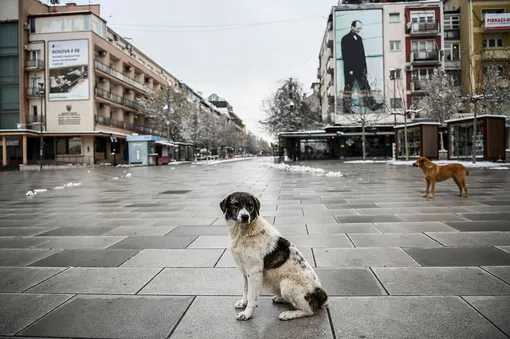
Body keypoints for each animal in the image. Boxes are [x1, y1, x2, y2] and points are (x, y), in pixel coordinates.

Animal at [218, 193, 328, 322]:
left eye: (250, 205)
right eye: (236, 204)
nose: (245, 217)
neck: (244, 232)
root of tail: (323, 296)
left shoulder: (254, 271)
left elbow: (251, 295)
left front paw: (247, 313)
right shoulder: (245, 271)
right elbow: (246, 289)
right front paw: (243, 303)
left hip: (286, 284)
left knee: (309, 310)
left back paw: (289, 314)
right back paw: (280, 299)